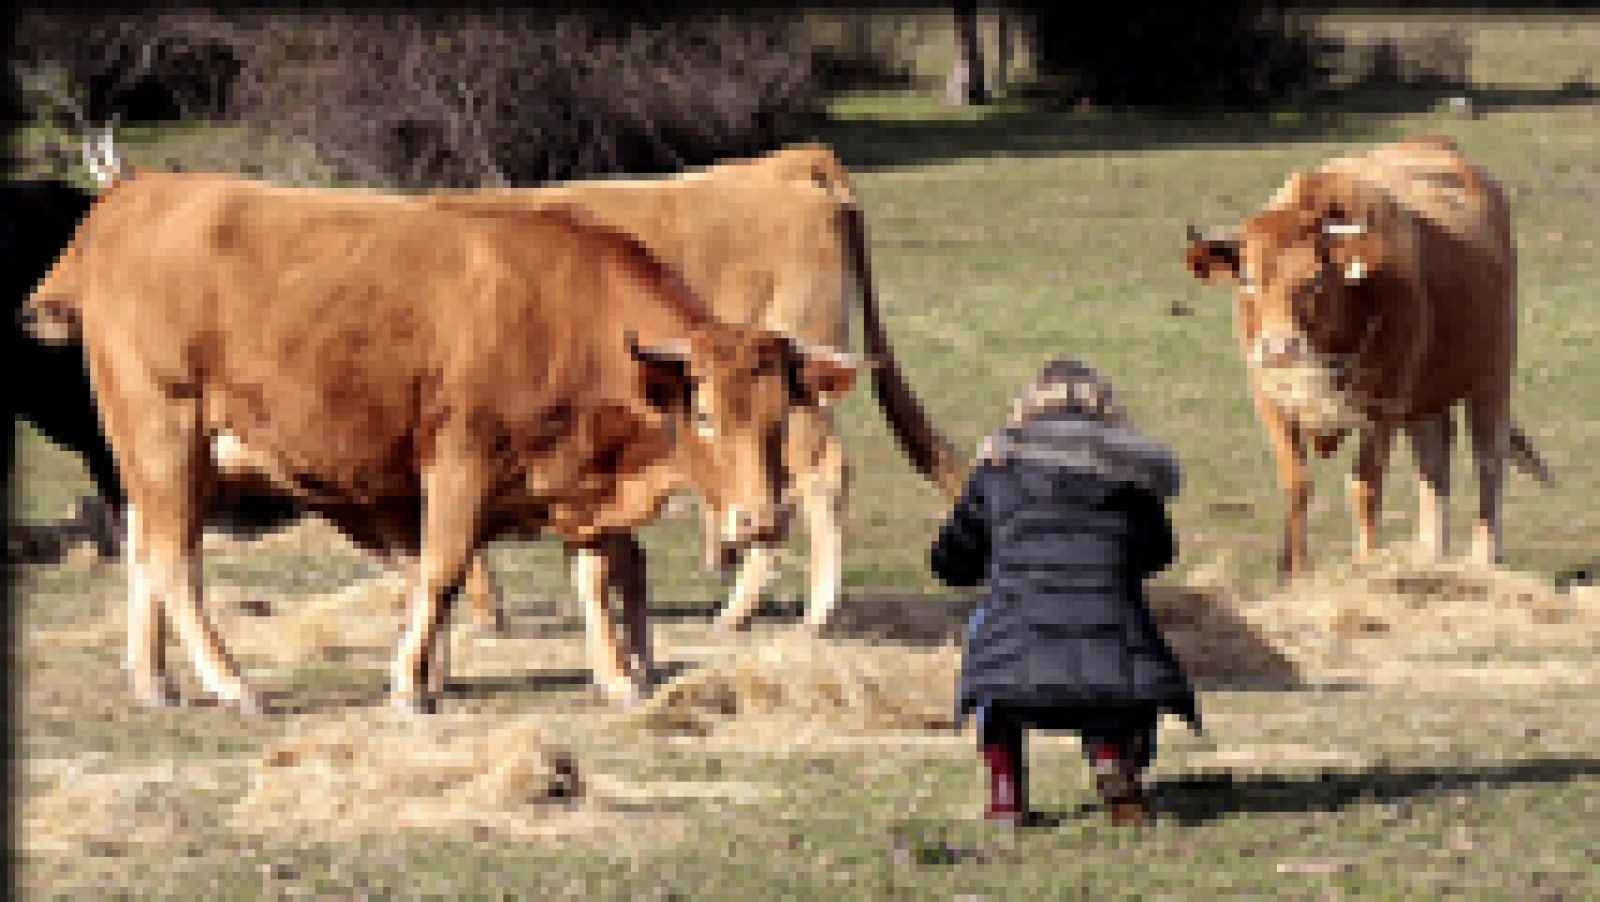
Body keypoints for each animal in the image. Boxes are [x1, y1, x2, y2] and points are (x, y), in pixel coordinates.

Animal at [18, 159, 857, 713]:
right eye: (705, 413)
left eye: (780, 417)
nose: (759, 521)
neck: (569, 316)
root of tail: (138, 192)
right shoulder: (459, 465)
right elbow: (443, 570)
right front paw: (409, 683)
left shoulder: (580, 486)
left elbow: (593, 576)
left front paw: (619, 675)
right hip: (166, 434)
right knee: (173, 558)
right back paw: (231, 682)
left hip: (156, 456)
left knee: (144, 549)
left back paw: (153, 678)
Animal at [1190, 135, 1548, 578]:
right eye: (1249, 280)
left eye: (1315, 280)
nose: (1278, 348)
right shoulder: (1270, 401)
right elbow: (1296, 483)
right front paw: (1296, 576)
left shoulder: (1383, 407)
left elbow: (1365, 486)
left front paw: (1366, 565)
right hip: (1425, 400)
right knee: (1434, 464)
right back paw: (1429, 555)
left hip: (1492, 374)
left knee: (1488, 460)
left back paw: (1483, 559)